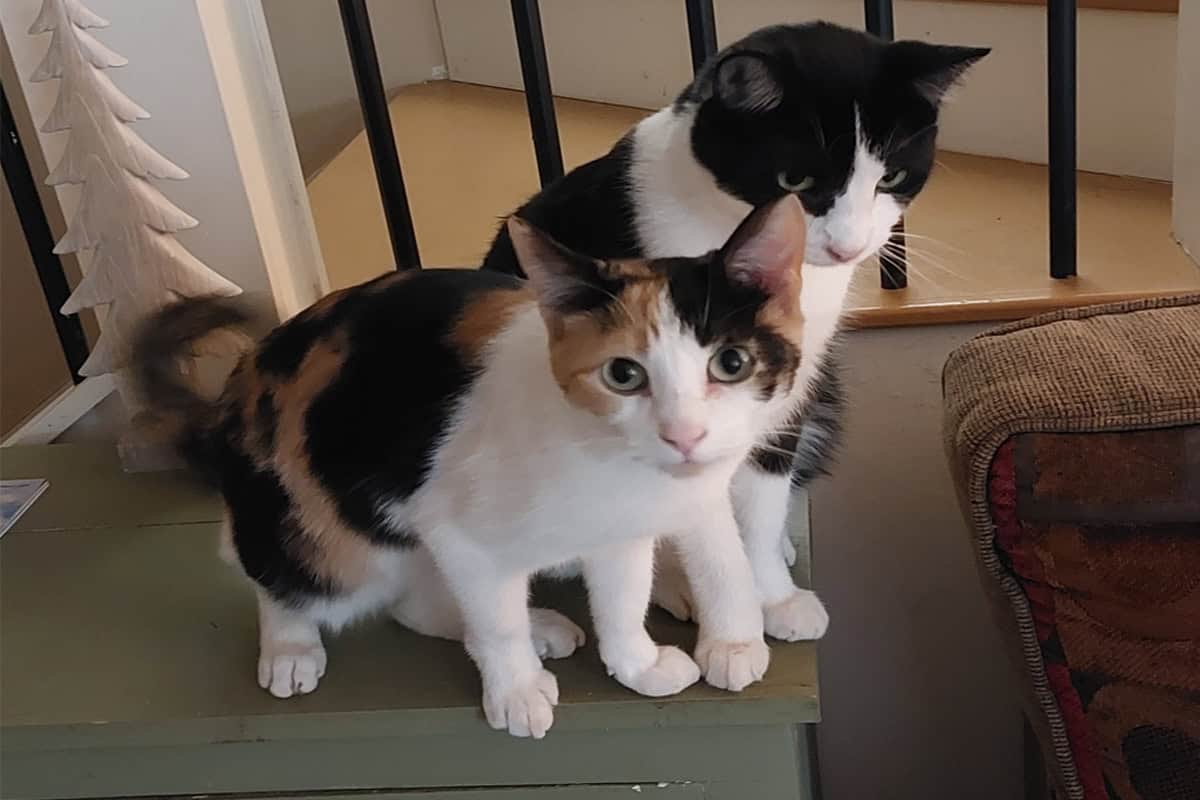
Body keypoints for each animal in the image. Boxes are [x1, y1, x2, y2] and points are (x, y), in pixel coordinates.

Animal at [131, 196, 812, 739]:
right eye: (623, 374)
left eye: (731, 363)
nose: (684, 435)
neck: (603, 462)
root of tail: (239, 385)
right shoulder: (458, 530)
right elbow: (495, 621)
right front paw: (515, 692)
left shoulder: (620, 534)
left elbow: (623, 598)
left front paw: (636, 665)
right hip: (319, 525)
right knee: (278, 571)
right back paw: (291, 645)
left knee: (412, 605)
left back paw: (538, 626)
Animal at [481, 21, 989, 639]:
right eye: (794, 179)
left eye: (890, 176)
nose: (848, 247)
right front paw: (703, 589)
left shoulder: (782, 382)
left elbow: (762, 495)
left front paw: (773, 593)